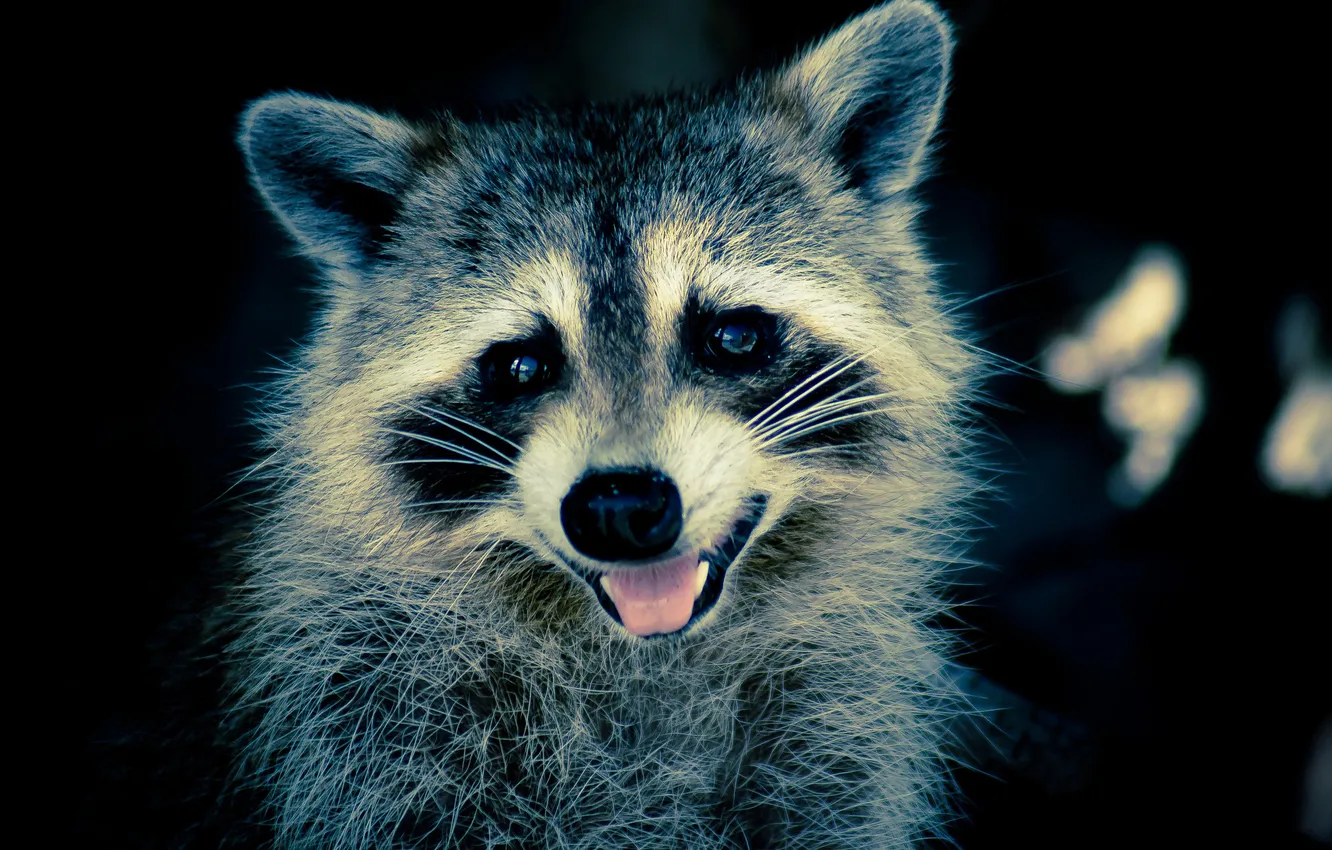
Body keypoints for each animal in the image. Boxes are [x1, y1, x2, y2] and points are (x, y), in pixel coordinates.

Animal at [228, 1, 979, 846]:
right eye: (520, 366)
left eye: (734, 336)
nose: (620, 508)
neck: (639, 656)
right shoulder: (373, 733)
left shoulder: (830, 746)